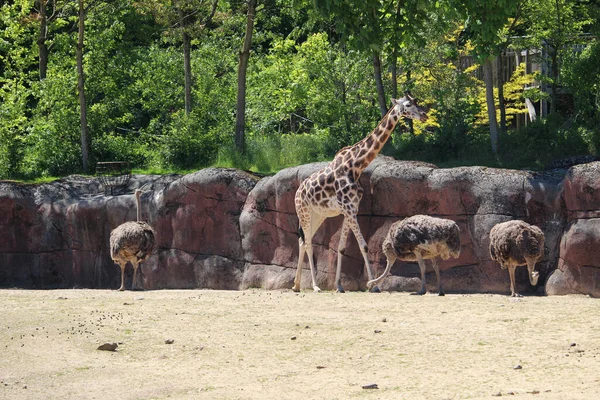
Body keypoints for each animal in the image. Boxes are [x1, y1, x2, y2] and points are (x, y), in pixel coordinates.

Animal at [294, 94, 426, 294]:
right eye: (409, 104)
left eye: (417, 102)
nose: (425, 115)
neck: (356, 165)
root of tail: (297, 192)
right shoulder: (348, 209)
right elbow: (363, 246)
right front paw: (374, 286)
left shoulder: (351, 209)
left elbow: (341, 247)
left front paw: (339, 285)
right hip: (304, 212)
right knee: (308, 242)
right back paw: (315, 286)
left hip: (318, 215)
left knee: (303, 241)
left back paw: (296, 285)